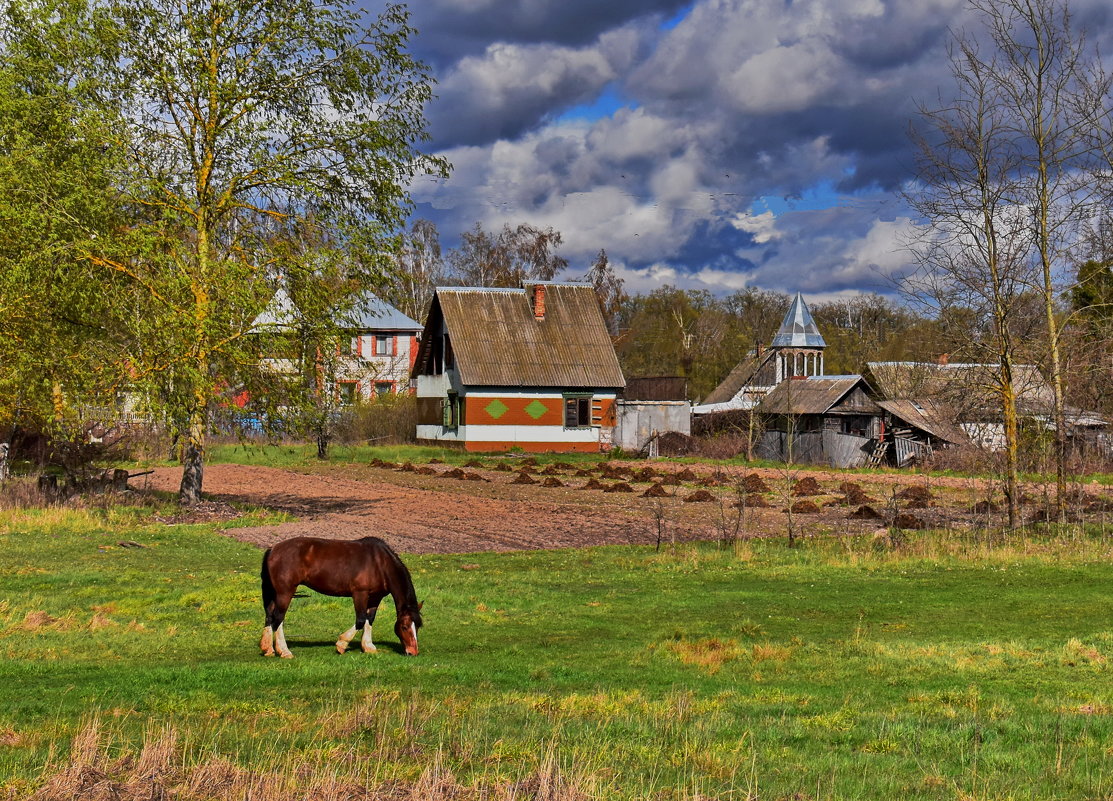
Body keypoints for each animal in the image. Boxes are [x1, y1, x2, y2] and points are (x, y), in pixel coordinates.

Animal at [258, 534, 422, 658]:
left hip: (275, 594)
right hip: (285, 592)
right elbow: (361, 620)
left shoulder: (375, 597)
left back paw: (268, 649)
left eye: (418, 626)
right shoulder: (360, 594)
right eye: (404, 626)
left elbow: (369, 620)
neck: (380, 563)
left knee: (269, 616)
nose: (413, 652)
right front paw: (342, 644)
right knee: (278, 618)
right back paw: (284, 651)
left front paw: (368, 647)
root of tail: (273, 549)